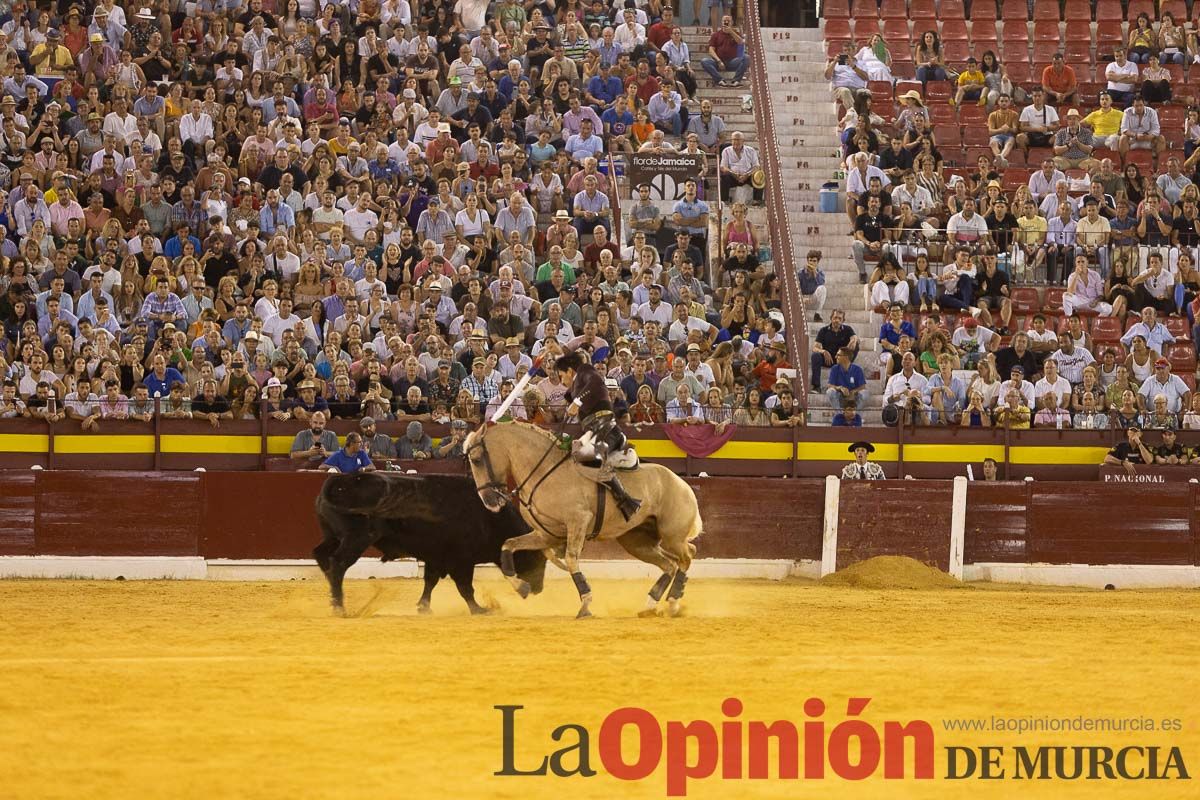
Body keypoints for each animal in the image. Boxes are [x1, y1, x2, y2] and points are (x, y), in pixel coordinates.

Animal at [314, 472, 549, 618]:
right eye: (536, 559)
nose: (538, 589)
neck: (490, 518)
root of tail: (338, 481)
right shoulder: (461, 560)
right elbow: (465, 587)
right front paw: (479, 610)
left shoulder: (436, 557)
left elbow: (430, 581)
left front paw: (423, 608)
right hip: (357, 538)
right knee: (338, 563)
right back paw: (339, 607)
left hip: (334, 536)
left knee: (321, 554)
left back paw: (333, 595)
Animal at [460, 419, 700, 618]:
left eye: (477, 460)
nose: (489, 501)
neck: (544, 472)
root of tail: (682, 483)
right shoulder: (545, 535)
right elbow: (508, 545)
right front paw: (522, 587)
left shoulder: (578, 522)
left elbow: (571, 558)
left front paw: (585, 604)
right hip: (637, 542)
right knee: (670, 564)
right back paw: (651, 605)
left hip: (672, 536)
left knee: (687, 556)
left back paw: (673, 603)